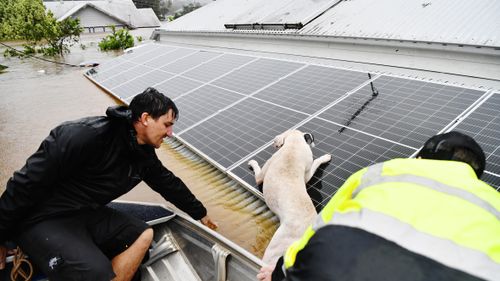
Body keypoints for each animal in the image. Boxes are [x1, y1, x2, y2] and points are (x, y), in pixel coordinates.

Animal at [247, 129, 332, 266]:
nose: (274, 144)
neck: (293, 147)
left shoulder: (260, 177)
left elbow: (257, 169)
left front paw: (252, 162)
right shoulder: (307, 174)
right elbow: (316, 163)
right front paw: (325, 158)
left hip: (274, 251)